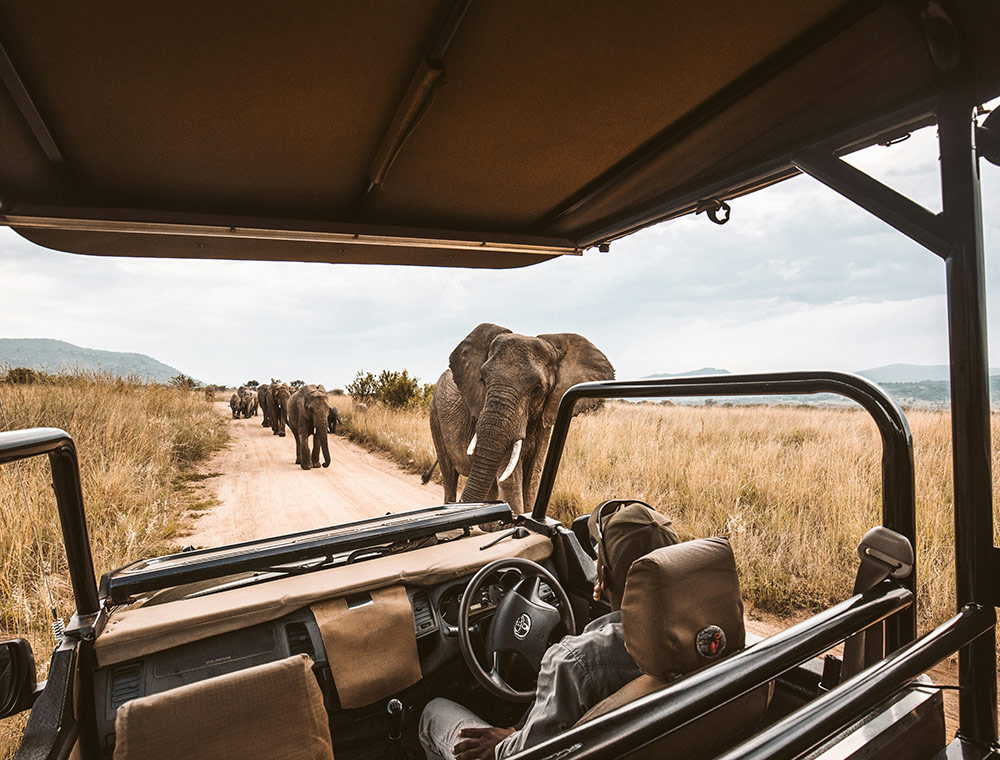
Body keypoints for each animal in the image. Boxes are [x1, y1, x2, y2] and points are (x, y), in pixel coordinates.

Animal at [428, 323, 614, 512]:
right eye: (483, 380)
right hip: (435, 415)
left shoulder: (545, 419)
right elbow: (511, 481)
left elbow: (533, 477)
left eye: (537, 388)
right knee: (449, 475)